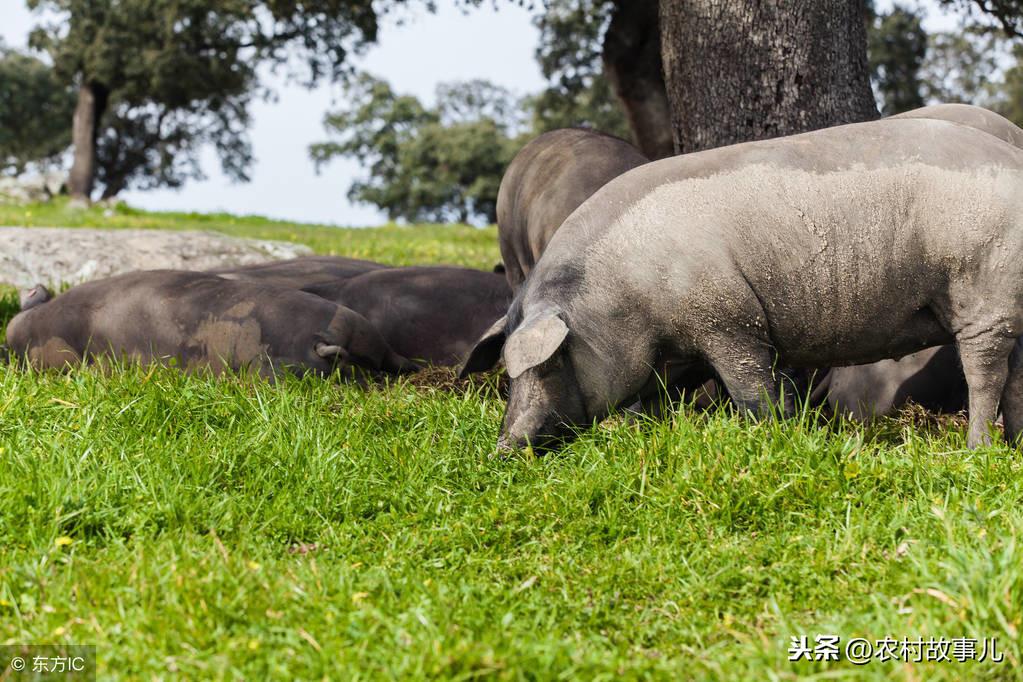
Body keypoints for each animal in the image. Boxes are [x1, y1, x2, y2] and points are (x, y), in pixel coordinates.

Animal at [462, 118, 1023, 447]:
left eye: (549, 362)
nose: (505, 446)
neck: (624, 293)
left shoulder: (728, 319)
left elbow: (750, 388)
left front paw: (771, 438)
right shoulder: (670, 350)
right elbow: (659, 397)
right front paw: (655, 435)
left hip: (985, 294)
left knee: (985, 376)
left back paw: (976, 450)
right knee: (1016, 378)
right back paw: (1013, 447)